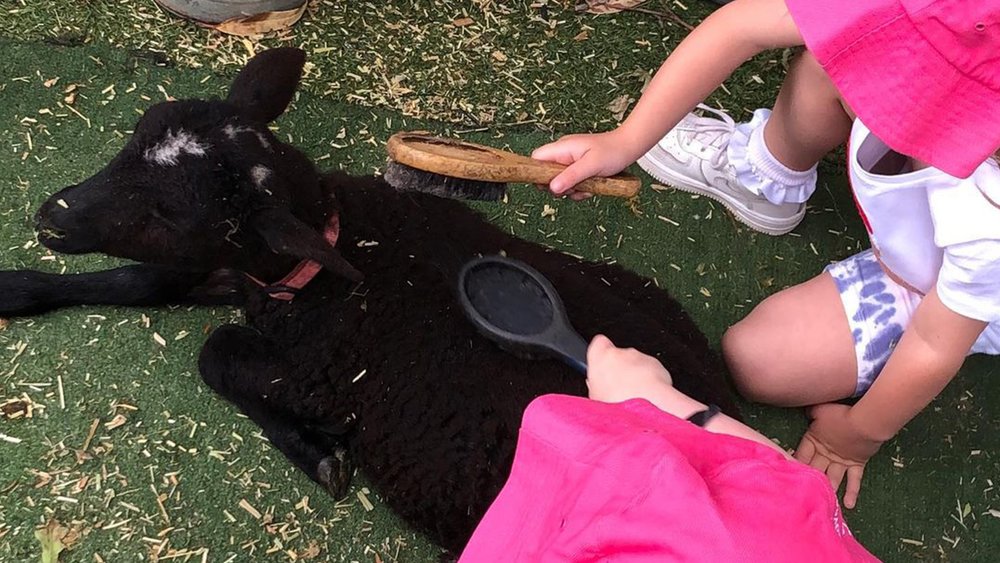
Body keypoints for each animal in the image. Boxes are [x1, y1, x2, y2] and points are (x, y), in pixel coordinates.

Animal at [0, 48, 739, 553]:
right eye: (134, 138)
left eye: (169, 214)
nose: (51, 216)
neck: (336, 245)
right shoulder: (248, 275)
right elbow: (143, 282)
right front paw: (18, 288)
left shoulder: (316, 371)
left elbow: (217, 353)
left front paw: (319, 451)